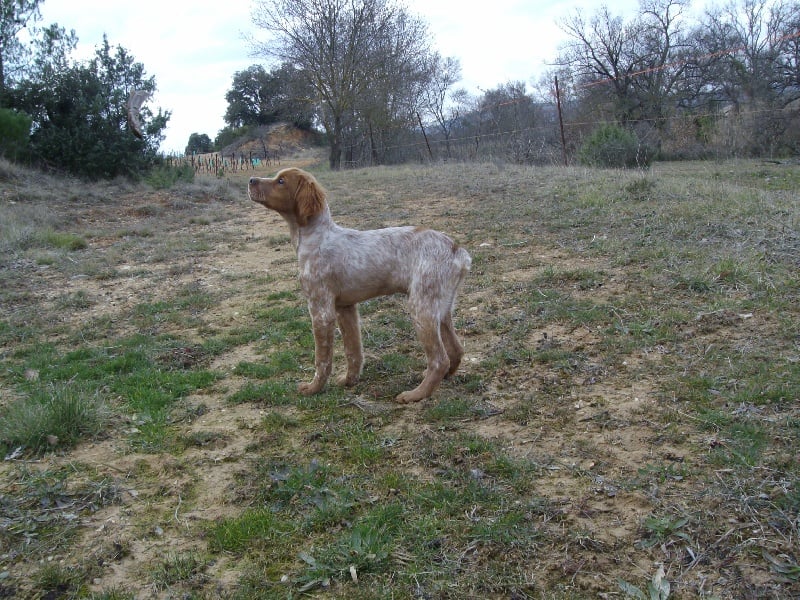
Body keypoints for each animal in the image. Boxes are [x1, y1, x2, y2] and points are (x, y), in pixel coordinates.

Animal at [248, 169, 468, 404]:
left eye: (281, 181)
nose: (251, 180)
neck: (316, 238)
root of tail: (457, 250)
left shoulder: (321, 311)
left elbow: (322, 359)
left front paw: (313, 388)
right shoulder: (345, 308)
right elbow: (353, 351)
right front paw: (349, 381)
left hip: (421, 308)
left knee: (439, 359)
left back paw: (416, 394)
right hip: (441, 308)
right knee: (456, 350)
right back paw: (443, 378)